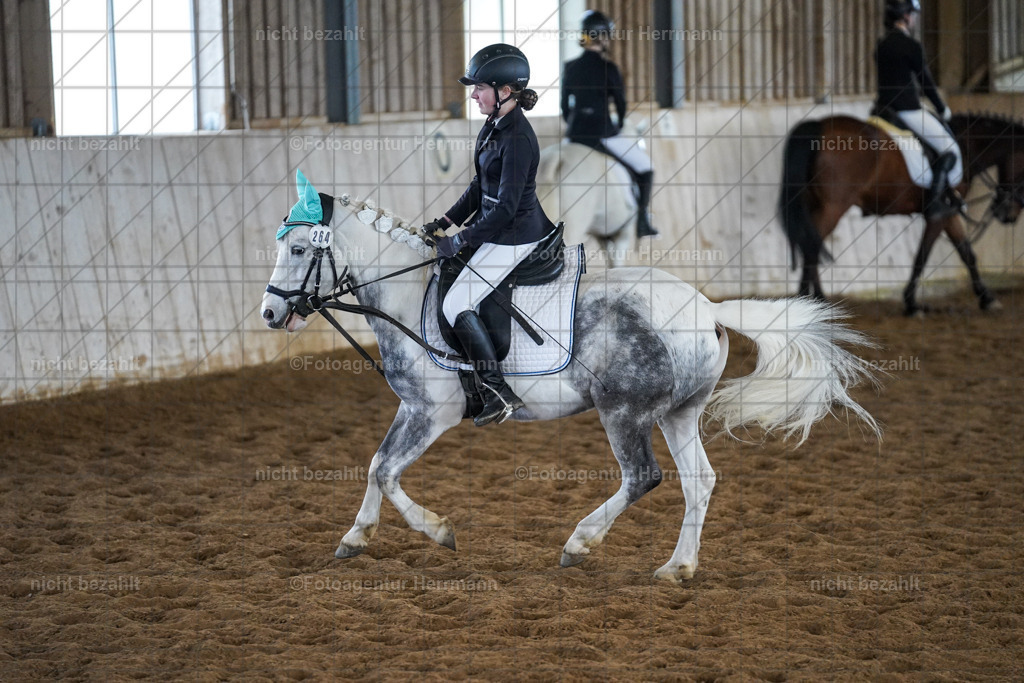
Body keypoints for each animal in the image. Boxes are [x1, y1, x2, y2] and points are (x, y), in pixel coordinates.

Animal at [261, 172, 881, 583]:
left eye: (301, 249)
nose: (269, 314)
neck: (409, 293)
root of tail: (706, 307)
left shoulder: (432, 412)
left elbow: (388, 471)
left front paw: (438, 531)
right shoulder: (410, 407)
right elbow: (374, 465)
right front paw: (354, 537)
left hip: (624, 411)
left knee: (643, 476)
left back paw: (581, 542)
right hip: (679, 414)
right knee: (698, 481)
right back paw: (677, 568)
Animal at [779, 112, 1024, 315]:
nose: (1008, 215)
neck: (965, 145)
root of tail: (820, 126)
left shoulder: (950, 213)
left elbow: (967, 253)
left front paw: (987, 298)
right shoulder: (940, 214)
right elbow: (922, 256)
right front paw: (912, 304)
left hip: (815, 204)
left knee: (810, 243)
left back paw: (815, 301)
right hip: (834, 206)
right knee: (811, 246)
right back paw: (810, 300)